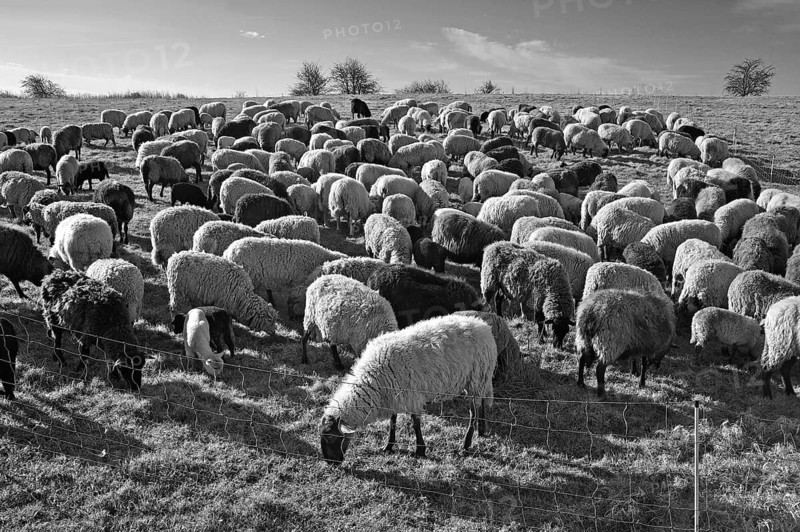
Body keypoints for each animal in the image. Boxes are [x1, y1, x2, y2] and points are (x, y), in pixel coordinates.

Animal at [320, 314, 495, 463]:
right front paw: (389, 446)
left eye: (331, 437)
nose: (330, 462)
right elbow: (392, 422)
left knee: (473, 411)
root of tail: (483, 326)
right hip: (480, 380)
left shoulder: (411, 395)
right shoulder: (393, 393)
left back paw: (466, 445)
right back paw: (482, 429)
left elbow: (415, 424)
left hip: (477, 378)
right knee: (483, 402)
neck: (373, 377)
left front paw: (420, 450)